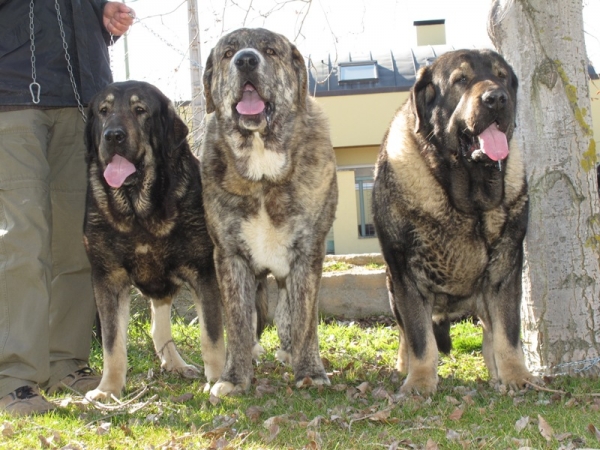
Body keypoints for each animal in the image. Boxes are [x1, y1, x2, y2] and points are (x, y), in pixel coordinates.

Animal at [82, 81, 225, 400]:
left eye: (140, 110)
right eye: (103, 110)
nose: (113, 135)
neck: (139, 209)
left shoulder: (204, 272)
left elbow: (211, 335)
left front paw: (217, 379)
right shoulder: (107, 279)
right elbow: (112, 342)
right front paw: (108, 388)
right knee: (159, 327)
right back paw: (174, 364)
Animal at [199, 28, 336, 396]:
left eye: (271, 51)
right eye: (227, 52)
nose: (246, 60)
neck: (262, 171)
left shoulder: (308, 254)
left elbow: (304, 320)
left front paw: (309, 369)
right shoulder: (229, 257)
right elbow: (238, 324)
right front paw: (234, 376)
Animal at [372, 49, 536, 394]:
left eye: (502, 76)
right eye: (461, 80)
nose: (496, 98)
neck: (469, 201)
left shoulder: (504, 271)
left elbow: (508, 332)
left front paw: (516, 376)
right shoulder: (406, 276)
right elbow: (420, 338)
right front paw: (419, 382)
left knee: (489, 332)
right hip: (393, 289)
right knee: (406, 333)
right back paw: (404, 366)